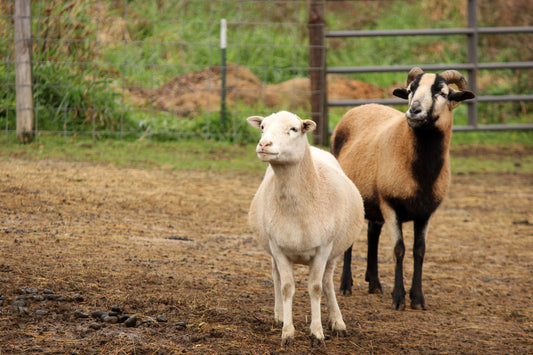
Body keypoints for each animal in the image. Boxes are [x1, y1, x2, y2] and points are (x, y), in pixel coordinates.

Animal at [246, 111, 364, 348]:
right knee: (276, 277)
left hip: (334, 251)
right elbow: (286, 288)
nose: (264, 144)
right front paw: (287, 332)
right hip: (272, 248)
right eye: (262, 127)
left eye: (294, 129)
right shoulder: (278, 248)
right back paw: (279, 315)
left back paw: (337, 322)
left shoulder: (323, 248)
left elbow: (316, 288)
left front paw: (317, 333)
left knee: (327, 282)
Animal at [330, 67, 476, 312]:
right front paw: (398, 298)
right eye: (410, 90)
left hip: (373, 203)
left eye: (442, 92)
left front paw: (417, 298)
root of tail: (363, 105)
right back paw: (345, 285)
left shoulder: (426, 212)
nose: (414, 111)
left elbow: (419, 251)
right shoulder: (390, 205)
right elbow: (399, 249)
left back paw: (375, 284)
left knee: (372, 233)